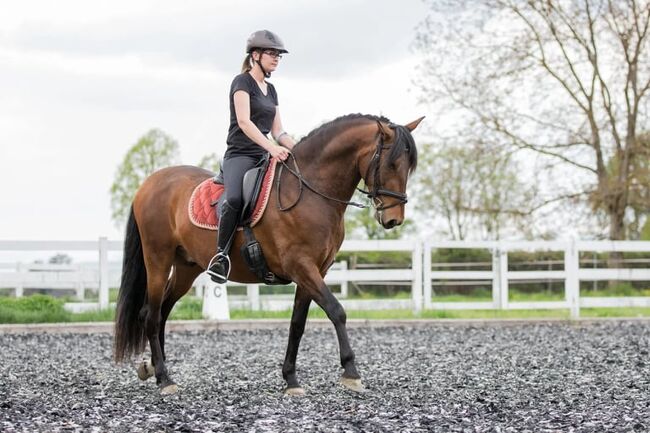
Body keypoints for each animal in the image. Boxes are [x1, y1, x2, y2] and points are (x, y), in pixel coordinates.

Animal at [114, 113, 422, 394]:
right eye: (391, 163)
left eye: (409, 167)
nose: (393, 219)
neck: (311, 191)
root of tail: (149, 183)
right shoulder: (301, 266)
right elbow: (337, 311)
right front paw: (351, 372)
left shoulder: (315, 272)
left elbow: (297, 324)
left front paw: (291, 379)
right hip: (158, 260)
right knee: (151, 314)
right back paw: (165, 379)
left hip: (186, 267)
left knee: (163, 311)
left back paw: (154, 369)